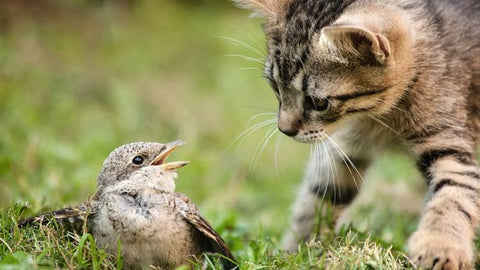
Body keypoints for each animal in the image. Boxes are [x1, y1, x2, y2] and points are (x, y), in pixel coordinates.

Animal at [235, 0, 480, 268]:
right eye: (276, 87)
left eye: (318, 103)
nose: (284, 129)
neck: (383, 116)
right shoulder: (346, 146)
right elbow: (320, 196)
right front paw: (296, 251)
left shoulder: (446, 139)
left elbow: (454, 191)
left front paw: (441, 246)